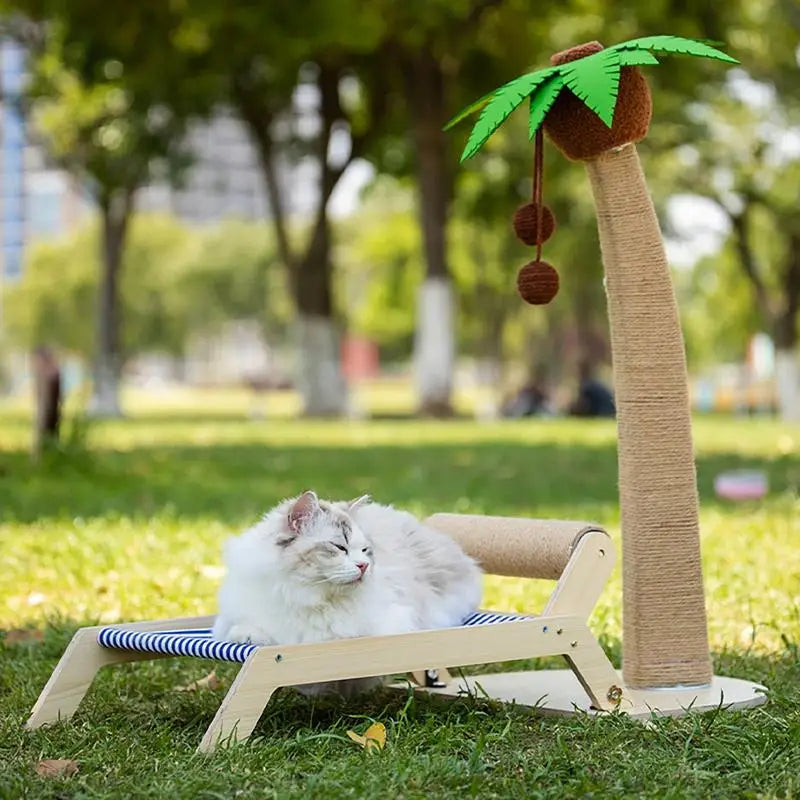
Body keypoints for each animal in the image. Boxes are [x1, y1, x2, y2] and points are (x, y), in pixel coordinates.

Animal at [212, 488, 482, 692]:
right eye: (339, 547)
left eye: (364, 550)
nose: (364, 566)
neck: (298, 592)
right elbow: (246, 631)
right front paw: (247, 637)